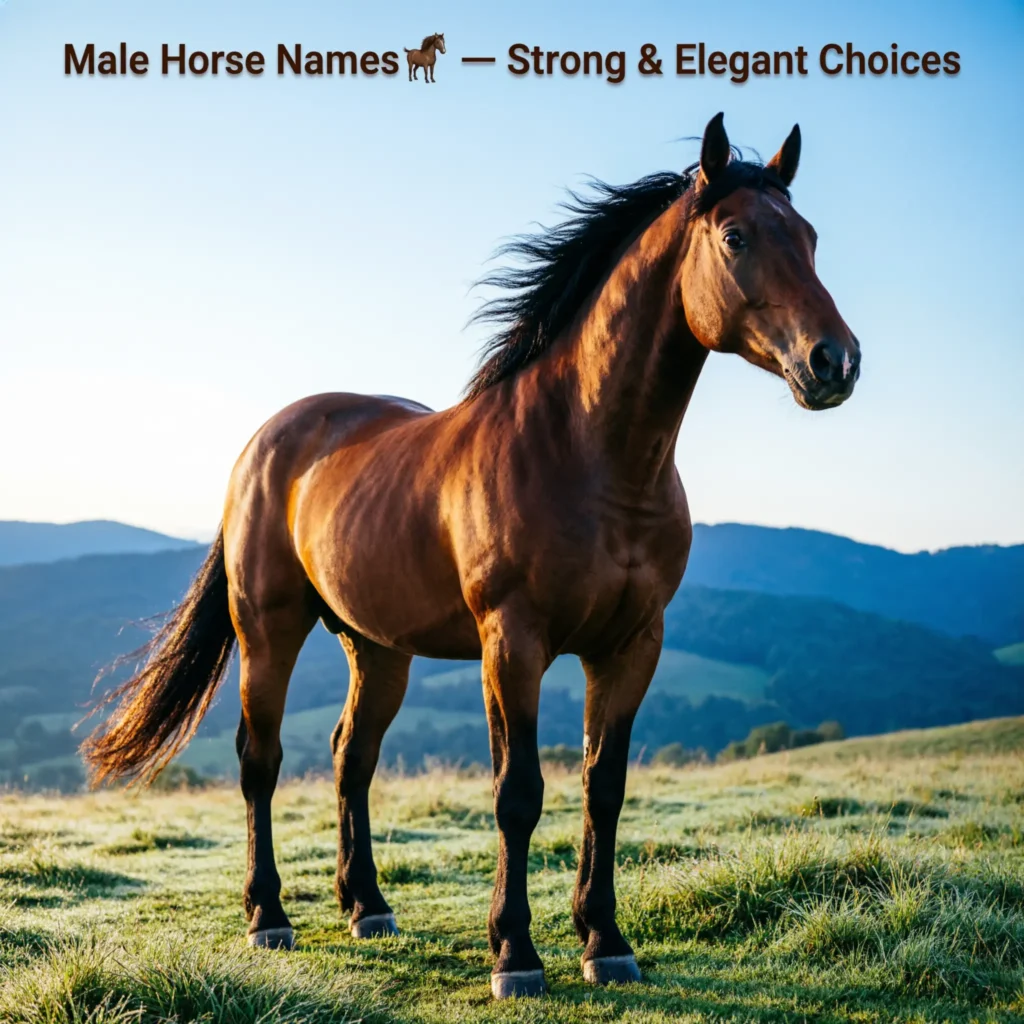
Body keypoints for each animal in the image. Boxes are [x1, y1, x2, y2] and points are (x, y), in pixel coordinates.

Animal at [82, 113, 861, 999]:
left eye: (809, 236)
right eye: (735, 237)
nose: (835, 361)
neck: (589, 453)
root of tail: (267, 443)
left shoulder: (633, 646)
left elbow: (604, 788)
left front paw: (605, 941)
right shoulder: (511, 645)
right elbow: (517, 793)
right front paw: (515, 954)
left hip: (378, 649)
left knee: (351, 757)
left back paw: (368, 906)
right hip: (268, 631)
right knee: (261, 760)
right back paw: (268, 916)